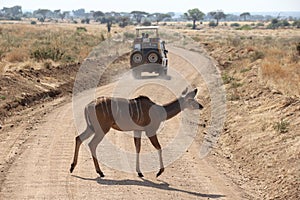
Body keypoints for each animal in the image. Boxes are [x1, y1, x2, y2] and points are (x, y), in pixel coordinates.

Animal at [69, 87, 203, 177]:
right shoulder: (150, 130)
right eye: (191, 99)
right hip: (102, 128)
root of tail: (87, 106)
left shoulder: (137, 130)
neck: (159, 111)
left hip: (91, 127)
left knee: (78, 138)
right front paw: (159, 172)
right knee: (92, 144)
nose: (201, 106)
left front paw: (139, 172)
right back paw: (100, 172)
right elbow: (159, 147)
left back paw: (72, 167)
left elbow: (137, 148)